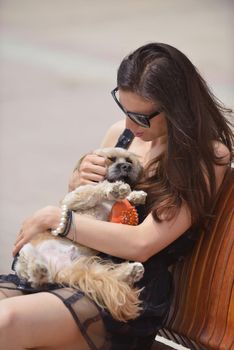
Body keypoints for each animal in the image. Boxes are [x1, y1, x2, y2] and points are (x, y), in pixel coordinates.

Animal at [14, 146, 147, 322]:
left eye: (129, 160)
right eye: (111, 159)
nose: (126, 166)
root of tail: (58, 269)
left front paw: (135, 195)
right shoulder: (71, 200)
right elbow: (92, 189)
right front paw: (116, 189)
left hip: (88, 265)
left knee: (107, 272)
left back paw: (131, 271)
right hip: (25, 252)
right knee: (35, 276)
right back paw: (38, 269)